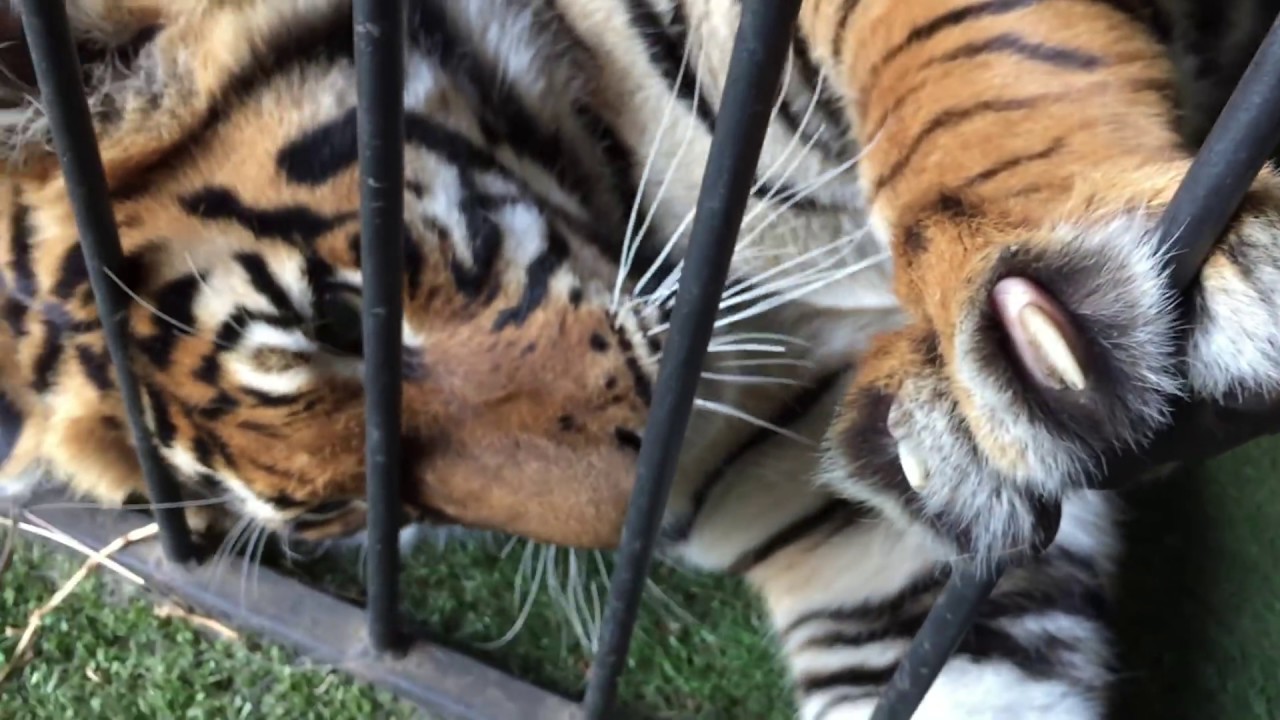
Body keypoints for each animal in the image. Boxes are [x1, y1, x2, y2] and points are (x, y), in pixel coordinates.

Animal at [2, 0, 1280, 718]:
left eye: (350, 319)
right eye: (346, 513)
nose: (648, 526)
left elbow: (970, 51)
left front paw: (1041, 285)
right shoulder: (863, 534)